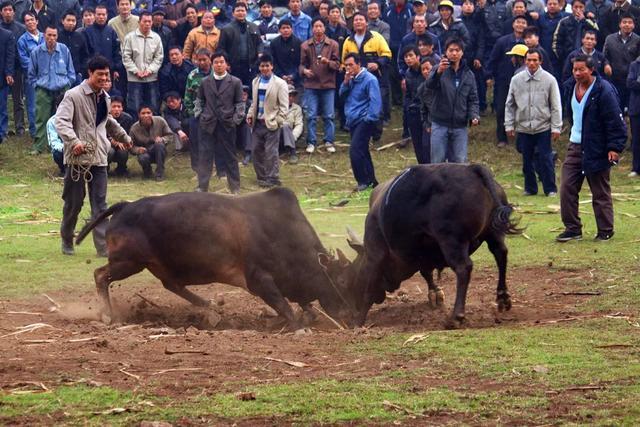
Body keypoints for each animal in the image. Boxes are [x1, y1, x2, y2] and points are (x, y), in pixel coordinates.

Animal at [344, 164, 520, 328]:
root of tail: (471, 169)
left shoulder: (375, 253)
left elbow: (369, 288)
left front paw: (359, 320)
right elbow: (426, 272)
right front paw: (435, 293)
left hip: (451, 240)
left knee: (464, 268)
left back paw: (456, 316)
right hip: (494, 233)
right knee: (501, 253)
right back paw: (503, 297)